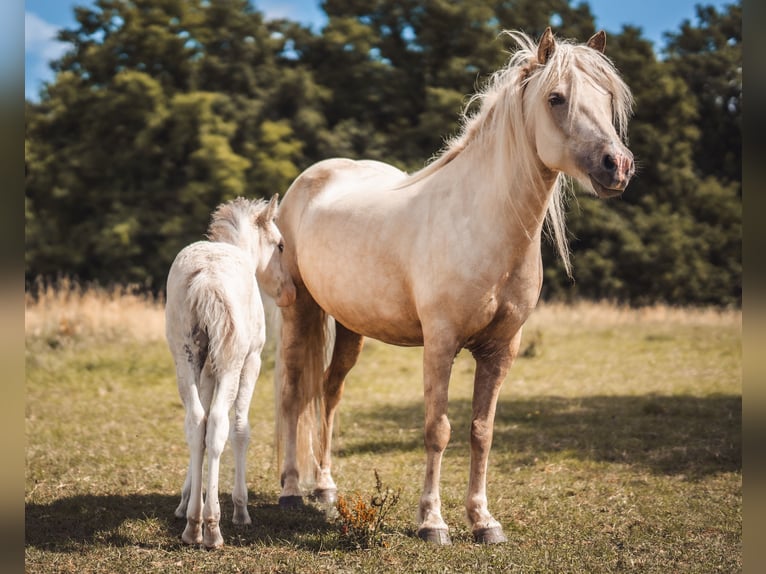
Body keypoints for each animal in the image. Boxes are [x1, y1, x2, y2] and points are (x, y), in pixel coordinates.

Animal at [165, 195, 296, 549]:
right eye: (280, 245)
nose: (290, 292)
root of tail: (205, 277)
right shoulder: (252, 361)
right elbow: (240, 429)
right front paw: (240, 508)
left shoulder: (207, 368)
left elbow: (201, 427)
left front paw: (185, 500)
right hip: (232, 362)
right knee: (220, 425)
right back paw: (211, 527)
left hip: (186, 358)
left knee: (196, 422)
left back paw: (193, 524)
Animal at [272, 28, 634, 545]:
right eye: (556, 98)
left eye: (607, 97)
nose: (616, 166)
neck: (482, 223)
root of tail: (310, 178)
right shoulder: (440, 344)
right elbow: (437, 429)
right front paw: (432, 522)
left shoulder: (501, 349)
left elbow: (481, 431)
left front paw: (484, 521)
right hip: (298, 310)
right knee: (291, 392)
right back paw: (289, 491)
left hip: (348, 325)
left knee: (329, 390)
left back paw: (324, 490)